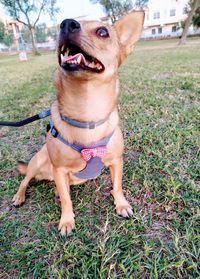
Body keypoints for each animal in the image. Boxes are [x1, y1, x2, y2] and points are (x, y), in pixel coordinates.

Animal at [12, 12, 144, 237]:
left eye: (103, 32)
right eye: (63, 24)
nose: (66, 24)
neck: (86, 108)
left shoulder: (116, 161)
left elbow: (117, 186)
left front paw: (122, 204)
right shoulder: (60, 169)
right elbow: (67, 201)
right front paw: (67, 221)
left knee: (59, 186)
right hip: (38, 161)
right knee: (26, 179)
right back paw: (20, 196)